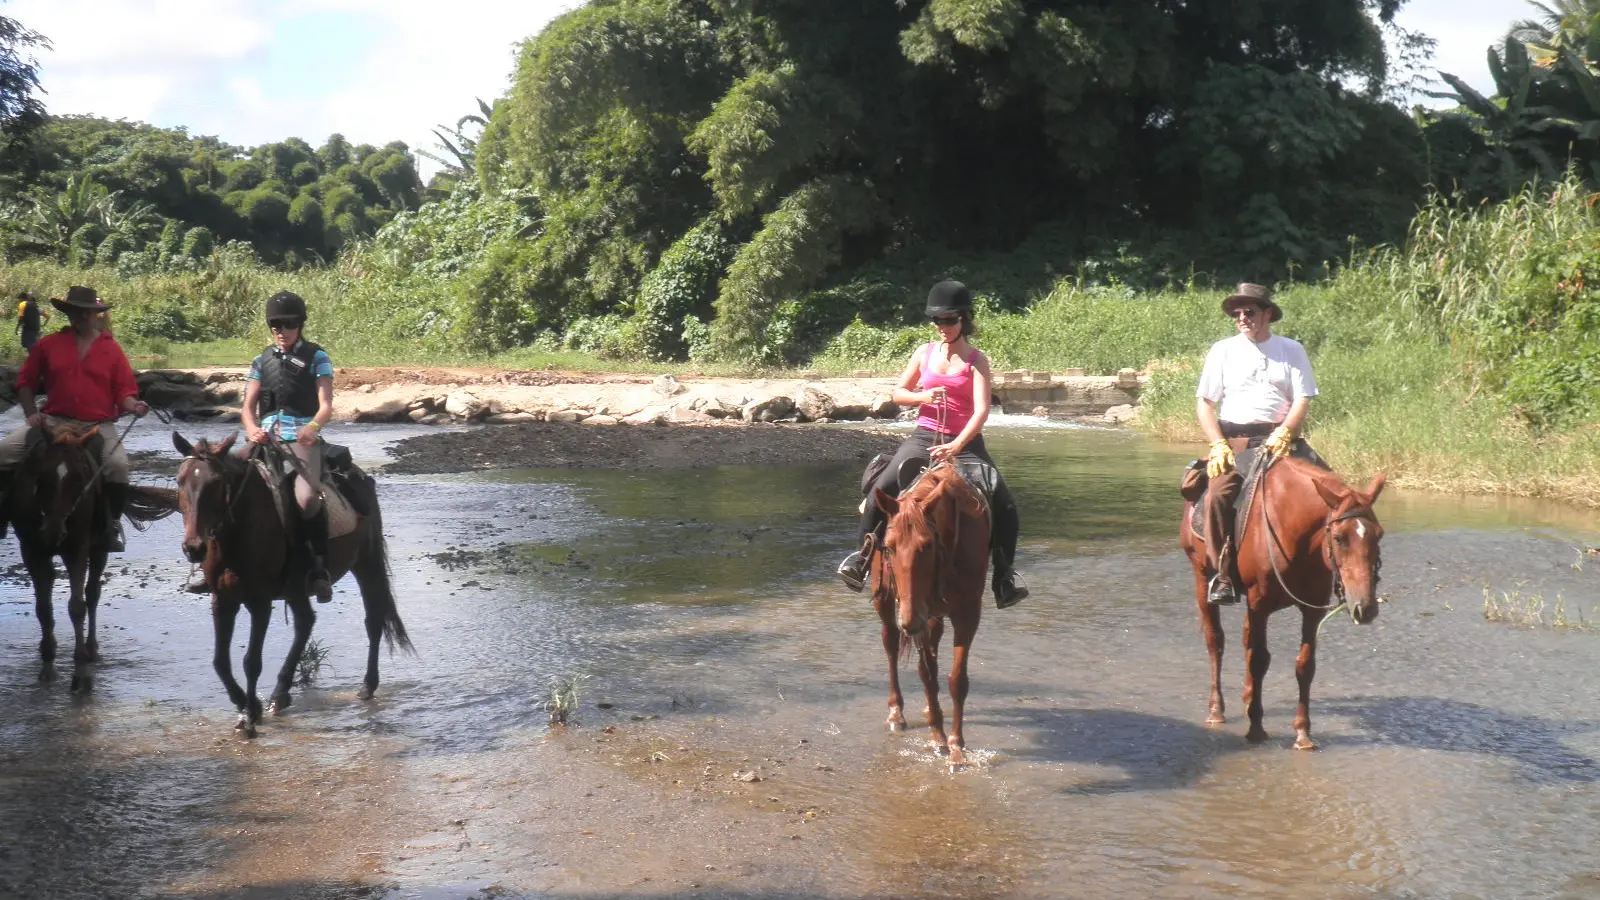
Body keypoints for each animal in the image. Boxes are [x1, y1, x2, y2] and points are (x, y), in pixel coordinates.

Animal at [173, 429, 412, 736]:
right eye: (180, 480)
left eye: (215, 483)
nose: (193, 548)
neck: (240, 533)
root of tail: (358, 476)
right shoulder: (222, 601)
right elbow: (220, 662)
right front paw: (246, 705)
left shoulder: (260, 601)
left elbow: (252, 661)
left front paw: (249, 716)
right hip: (297, 587)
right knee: (305, 622)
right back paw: (280, 693)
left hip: (366, 563)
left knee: (372, 620)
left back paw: (367, 686)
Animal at [870, 461, 992, 762]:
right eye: (889, 546)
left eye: (927, 545)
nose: (909, 622)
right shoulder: (918, 615)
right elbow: (925, 673)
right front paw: (938, 738)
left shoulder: (966, 614)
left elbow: (956, 680)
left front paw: (956, 746)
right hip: (887, 602)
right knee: (891, 643)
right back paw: (896, 713)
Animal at [1177, 454, 1388, 749]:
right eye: (1339, 538)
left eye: (1378, 534)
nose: (1365, 607)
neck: (1293, 531)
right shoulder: (1259, 603)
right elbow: (1259, 660)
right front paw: (1256, 727)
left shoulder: (1311, 609)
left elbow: (1305, 665)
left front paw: (1303, 733)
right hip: (1201, 575)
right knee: (1215, 641)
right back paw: (1216, 709)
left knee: (1245, 639)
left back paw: (1247, 695)